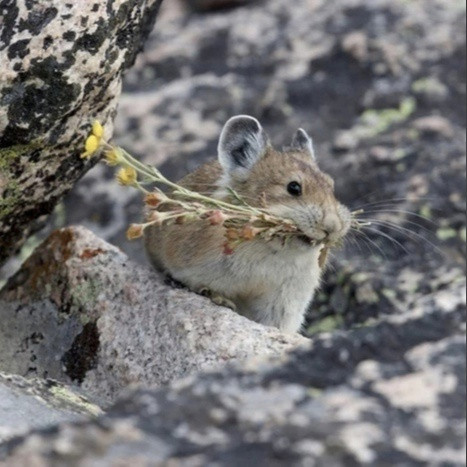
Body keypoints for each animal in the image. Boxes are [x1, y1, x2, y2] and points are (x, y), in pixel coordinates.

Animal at [145, 115, 351, 333]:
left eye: (331, 187)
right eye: (293, 187)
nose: (332, 227)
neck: (268, 250)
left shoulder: (285, 301)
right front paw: (220, 299)